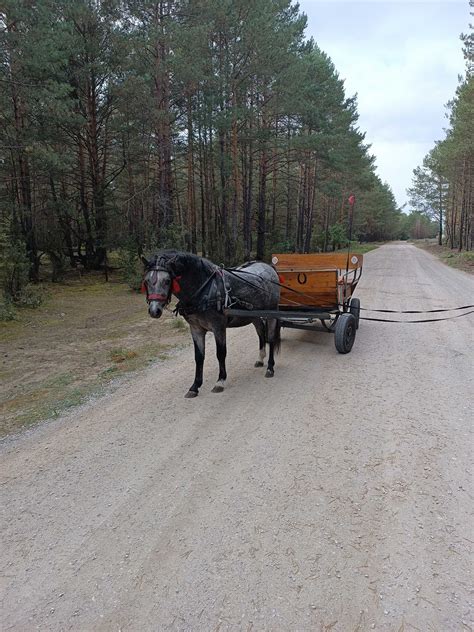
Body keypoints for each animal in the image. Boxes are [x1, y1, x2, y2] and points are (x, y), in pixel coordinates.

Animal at [142, 249, 282, 398]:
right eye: (146, 281)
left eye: (167, 281)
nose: (154, 310)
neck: (204, 290)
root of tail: (268, 267)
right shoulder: (196, 328)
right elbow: (199, 356)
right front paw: (195, 386)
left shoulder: (218, 327)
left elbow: (221, 353)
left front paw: (220, 381)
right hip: (253, 315)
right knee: (261, 332)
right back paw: (260, 359)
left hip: (271, 312)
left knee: (270, 338)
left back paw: (270, 367)